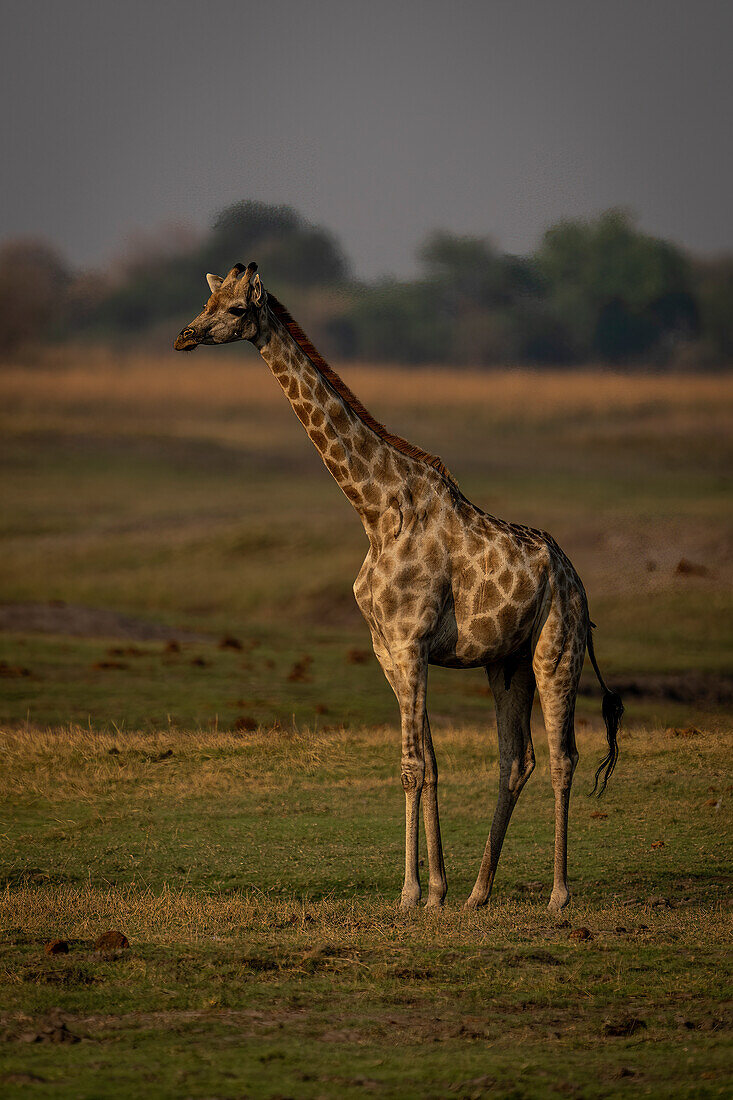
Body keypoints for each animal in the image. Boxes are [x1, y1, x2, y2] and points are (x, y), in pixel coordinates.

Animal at [173, 259, 620, 910]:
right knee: (516, 760)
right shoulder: (389, 648)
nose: (184, 336)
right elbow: (425, 762)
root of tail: (577, 581)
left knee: (563, 756)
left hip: (555, 651)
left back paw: (559, 895)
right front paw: (435, 888)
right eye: (207, 299)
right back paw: (478, 893)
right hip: (505, 661)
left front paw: (410, 892)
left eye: (235, 309)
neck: (377, 510)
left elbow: (413, 763)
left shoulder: (411, 644)